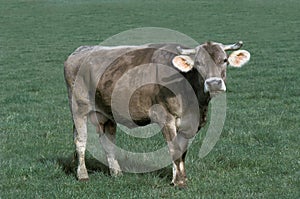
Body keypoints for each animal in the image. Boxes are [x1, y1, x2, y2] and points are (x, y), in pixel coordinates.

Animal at [64, 40, 250, 188]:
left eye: (224, 60)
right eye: (198, 63)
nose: (213, 84)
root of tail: (82, 50)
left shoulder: (191, 124)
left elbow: (182, 151)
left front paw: (180, 178)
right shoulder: (165, 118)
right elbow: (174, 149)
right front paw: (179, 182)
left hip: (106, 113)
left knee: (108, 142)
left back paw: (117, 173)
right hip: (78, 108)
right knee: (81, 140)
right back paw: (83, 175)